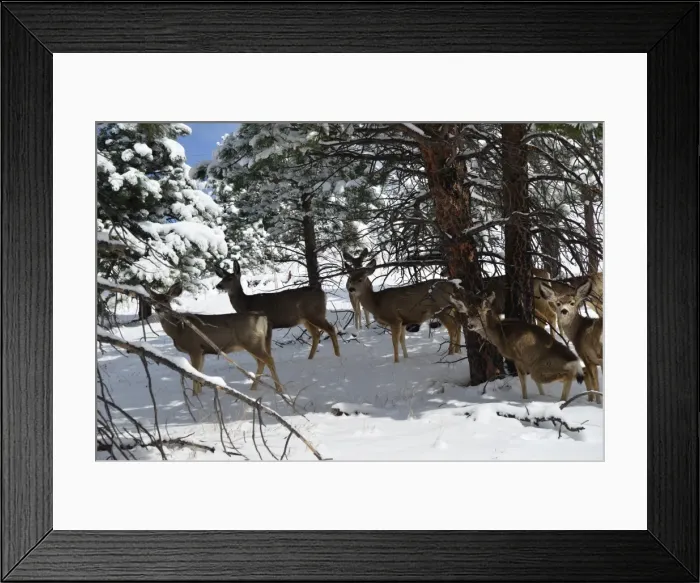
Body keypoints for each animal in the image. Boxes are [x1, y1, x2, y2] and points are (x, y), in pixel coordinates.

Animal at [147, 282, 283, 395]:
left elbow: (195, 373)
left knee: (268, 359)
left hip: (252, 341)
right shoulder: (202, 351)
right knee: (262, 361)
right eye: (153, 301)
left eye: (166, 299)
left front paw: (195, 396)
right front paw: (199, 394)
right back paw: (253, 389)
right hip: (255, 342)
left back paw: (279, 389)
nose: (158, 309)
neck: (178, 330)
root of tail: (263, 317)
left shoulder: (194, 348)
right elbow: (200, 373)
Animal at [448, 290, 585, 401]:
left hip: (542, 367)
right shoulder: (528, 362)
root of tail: (574, 360)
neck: (500, 334)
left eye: (479, 314)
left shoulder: (517, 358)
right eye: (467, 314)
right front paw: (542, 396)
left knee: (568, 375)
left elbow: (523, 382)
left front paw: (524, 400)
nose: (470, 325)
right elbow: (538, 387)